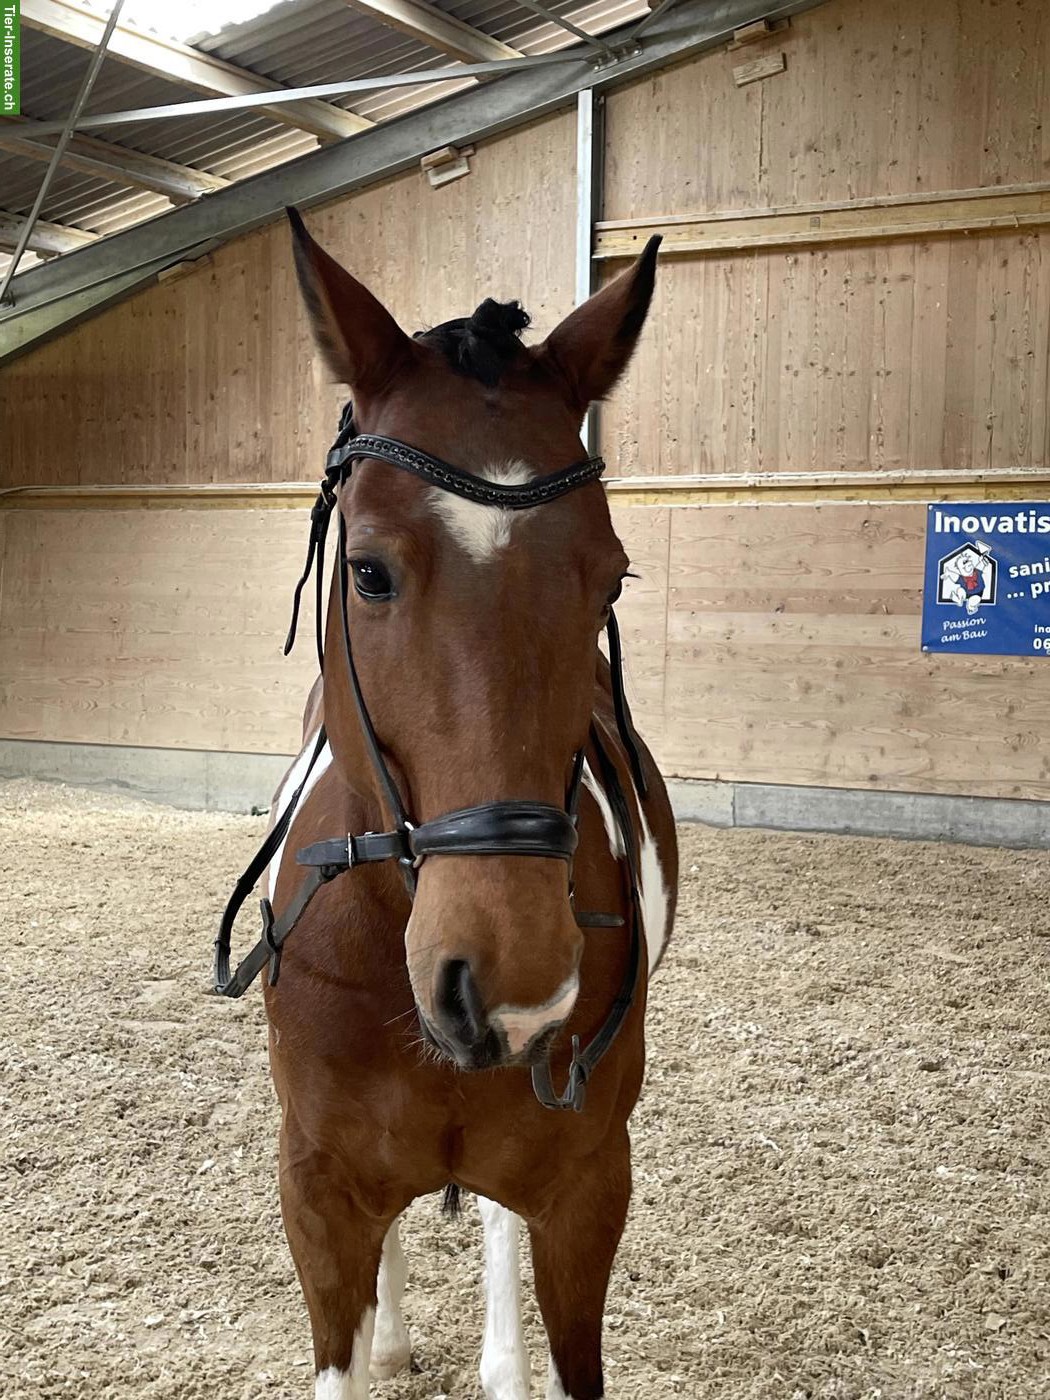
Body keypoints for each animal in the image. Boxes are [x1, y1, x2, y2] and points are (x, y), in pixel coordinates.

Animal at [214, 208, 678, 1400]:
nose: (509, 985)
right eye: (369, 572)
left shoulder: (588, 1193)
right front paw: (377, 1333)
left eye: (610, 580)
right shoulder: (317, 1194)